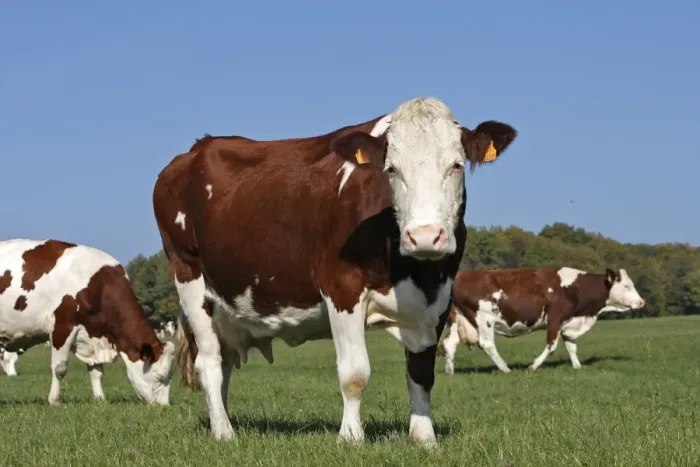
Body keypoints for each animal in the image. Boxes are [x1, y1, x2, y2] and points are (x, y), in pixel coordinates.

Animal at [0, 239, 176, 404]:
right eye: (161, 377)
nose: (164, 406)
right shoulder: (62, 327)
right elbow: (60, 368)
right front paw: (54, 400)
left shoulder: (93, 333)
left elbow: (96, 372)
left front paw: (100, 399)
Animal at [153, 96, 518, 445]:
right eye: (391, 169)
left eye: (456, 166)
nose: (425, 236)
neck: (412, 271)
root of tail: (198, 148)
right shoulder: (342, 287)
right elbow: (354, 373)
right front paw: (351, 437)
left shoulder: (439, 297)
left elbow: (421, 373)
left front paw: (424, 438)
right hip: (190, 279)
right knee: (209, 362)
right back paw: (223, 432)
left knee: (225, 363)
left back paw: (224, 420)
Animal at [437, 267, 645, 375]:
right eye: (626, 286)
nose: (641, 302)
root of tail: (462, 275)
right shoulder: (555, 319)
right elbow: (551, 346)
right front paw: (533, 366)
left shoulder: (569, 322)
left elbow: (571, 346)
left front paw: (577, 366)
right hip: (483, 318)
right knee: (487, 344)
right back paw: (505, 369)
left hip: (459, 320)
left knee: (449, 343)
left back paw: (450, 371)